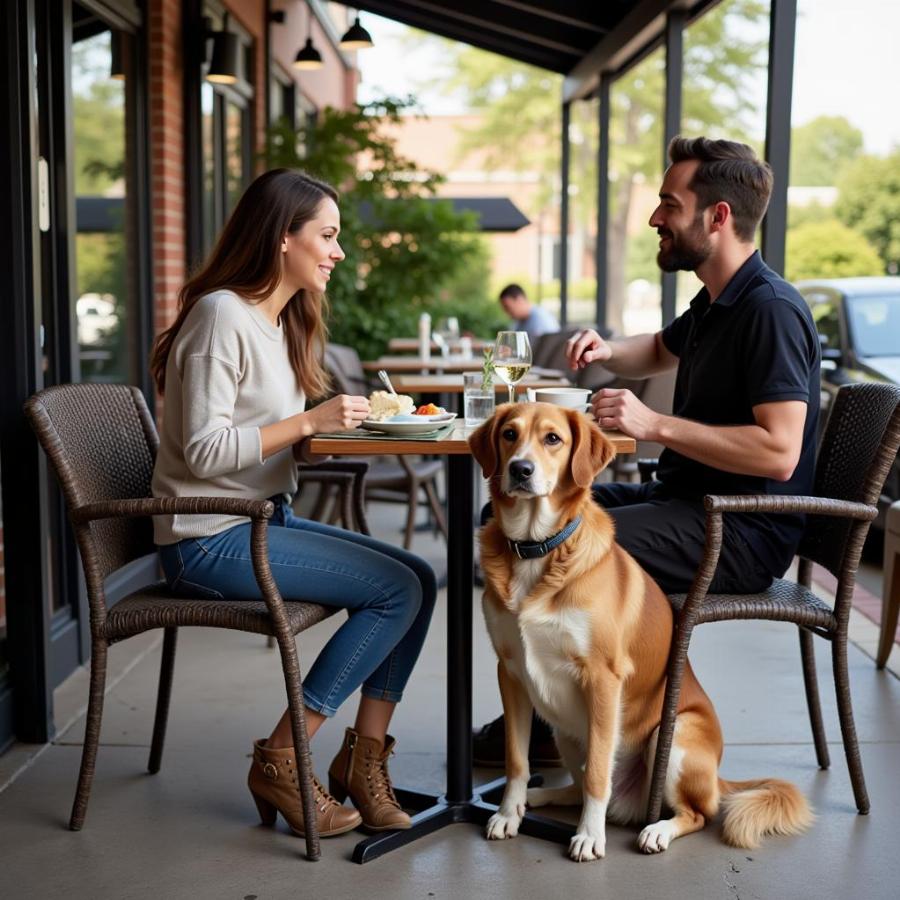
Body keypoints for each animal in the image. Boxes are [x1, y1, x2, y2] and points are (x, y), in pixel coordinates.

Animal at [468, 404, 812, 860]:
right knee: (577, 787)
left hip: (673, 738)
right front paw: (510, 812)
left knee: (696, 813)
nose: (520, 469)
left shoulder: (602, 679)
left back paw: (657, 830)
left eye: (552, 439)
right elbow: (517, 760)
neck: (537, 548)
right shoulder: (510, 672)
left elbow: (598, 773)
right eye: (509, 434)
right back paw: (540, 798)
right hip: (564, 731)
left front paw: (589, 837)